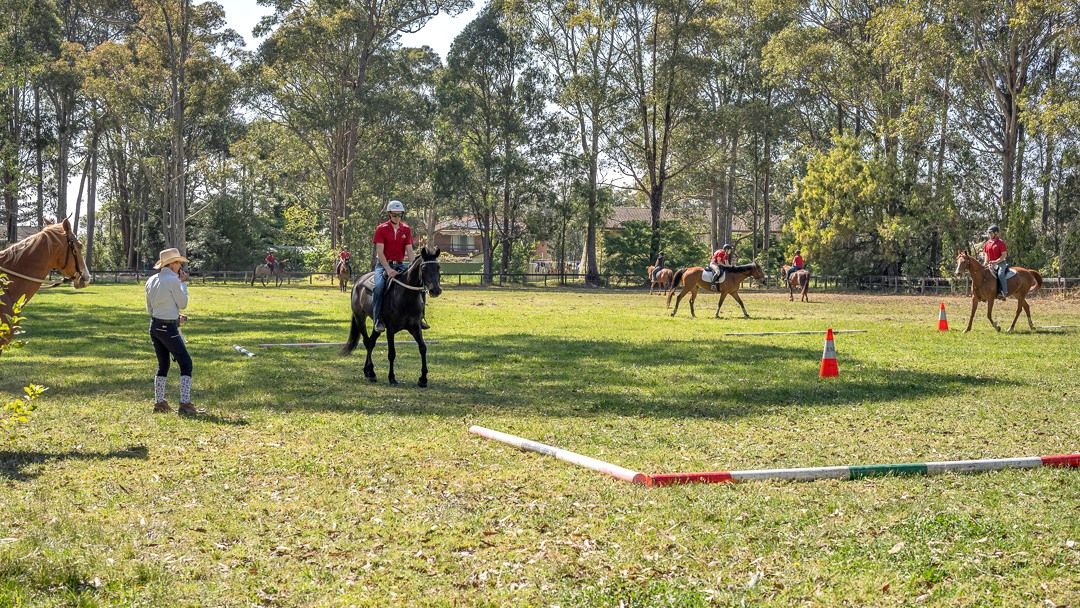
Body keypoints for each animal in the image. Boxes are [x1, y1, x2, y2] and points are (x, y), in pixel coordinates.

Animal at [336, 246, 438, 384]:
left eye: (438, 267)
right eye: (424, 268)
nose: (436, 290)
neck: (405, 297)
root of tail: (358, 283)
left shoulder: (415, 327)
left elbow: (423, 348)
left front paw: (423, 379)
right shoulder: (390, 329)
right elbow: (391, 353)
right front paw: (392, 377)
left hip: (377, 325)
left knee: (371, 342)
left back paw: (368, 371)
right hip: (360, 318)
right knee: (367, 342)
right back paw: (371, 372)